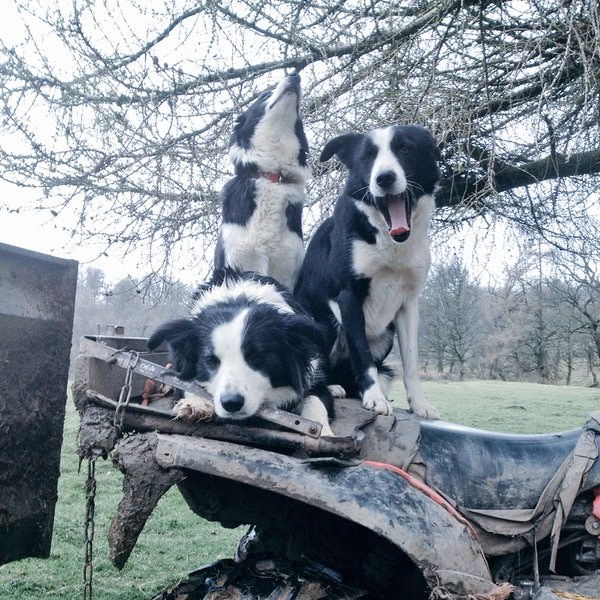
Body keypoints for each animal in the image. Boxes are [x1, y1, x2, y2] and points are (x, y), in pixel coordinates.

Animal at [148, 272, 336, 436]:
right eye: (210, 360)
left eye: (257, 357)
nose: (231, 404)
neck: (239, 298)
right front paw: (195, 404)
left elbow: (315, 399)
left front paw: (323, 431)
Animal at [296, 125, 440, 420]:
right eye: (367, 157)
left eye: (405, 148)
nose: (384, 178)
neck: (388, 240)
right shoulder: (348, 296)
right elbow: (362, 354)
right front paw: (374, 398)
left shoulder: (409, 305)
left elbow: (411, 361)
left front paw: (419, 403)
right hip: (323, 323)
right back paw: (335, 386)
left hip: (385, 337)